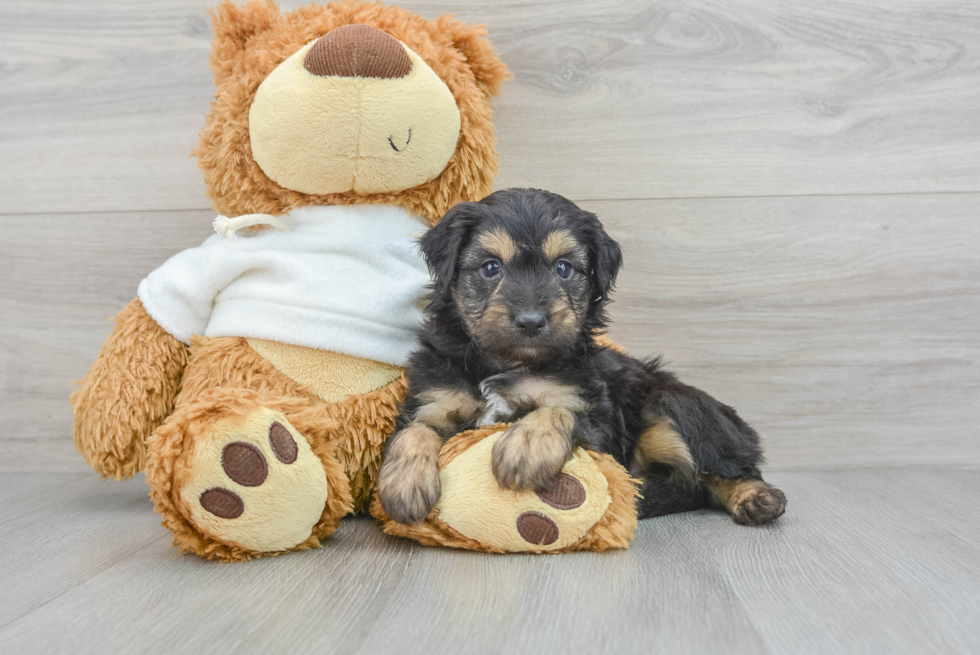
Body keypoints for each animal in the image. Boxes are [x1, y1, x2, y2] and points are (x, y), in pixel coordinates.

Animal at [378, 188, 788, 528]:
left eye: (563, 268)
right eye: (491, 267)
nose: (531, 320)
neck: (509, 363)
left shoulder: (594, 414)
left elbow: (560, 410)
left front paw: (527, 446)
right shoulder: (435, 398)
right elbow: (415, 430)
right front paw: (403, 484)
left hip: (674, 404)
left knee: (719, 471)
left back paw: (755, 496)